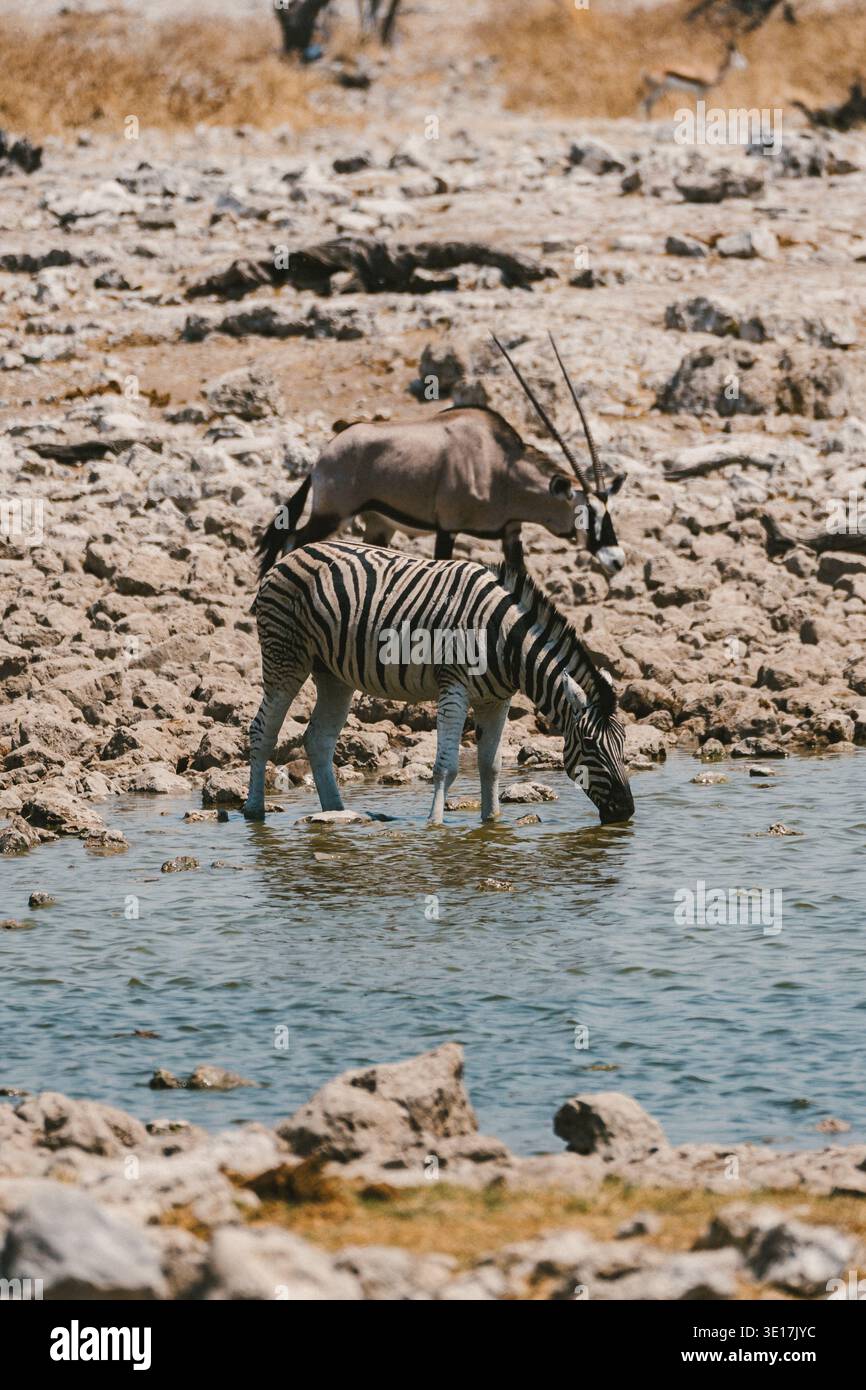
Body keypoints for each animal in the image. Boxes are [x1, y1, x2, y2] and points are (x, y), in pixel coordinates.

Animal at [243, 541, 634, 826]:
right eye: (589, 744)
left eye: (623, 744)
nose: (627, 811)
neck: (506, 640)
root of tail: (291, 554)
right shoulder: (454, 688)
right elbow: (447, 766)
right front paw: (435, 824)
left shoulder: (497, 700)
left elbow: (491, 765)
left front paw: (492, 822)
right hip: (285, 659)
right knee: (263, 731)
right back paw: (254, 810)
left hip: (333, 674)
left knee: (318, 739)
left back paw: (338, 813)